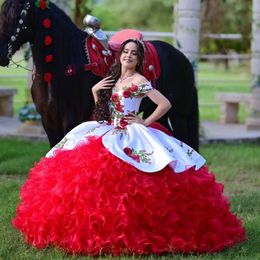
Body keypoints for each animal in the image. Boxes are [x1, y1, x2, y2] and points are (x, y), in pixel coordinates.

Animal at [0, 0, 199, 150]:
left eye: (17, 15)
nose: (1, 55)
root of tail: (183, 59)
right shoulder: (48, 121)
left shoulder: (71, 120)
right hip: (157, 111)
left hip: (178, 115)